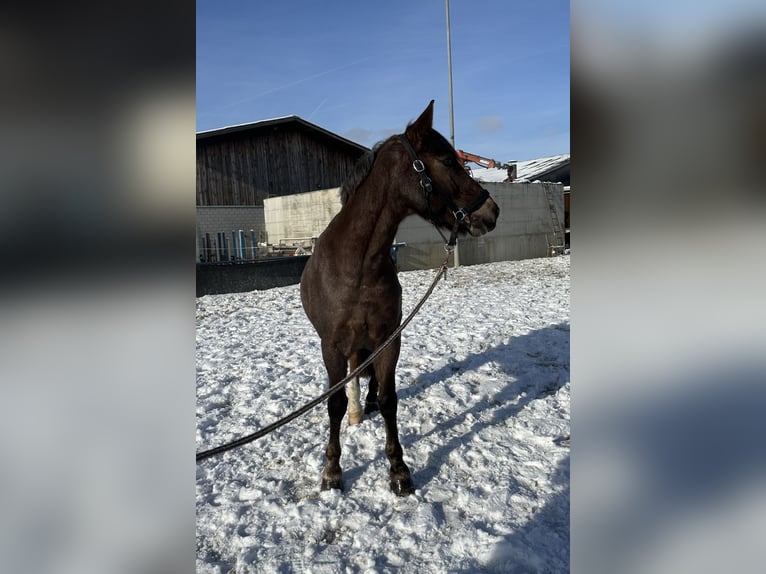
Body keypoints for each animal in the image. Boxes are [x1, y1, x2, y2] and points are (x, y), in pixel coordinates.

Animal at [296, 101, 500, 498]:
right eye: (448, 160)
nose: (492, 212)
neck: (358, 265)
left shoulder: (389, 338)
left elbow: (390, 399)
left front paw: (398, 470)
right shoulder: (331, 345)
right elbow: (335, 403)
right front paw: (332, 471)